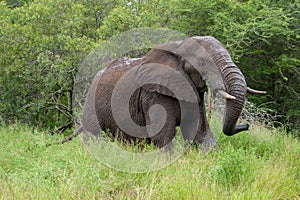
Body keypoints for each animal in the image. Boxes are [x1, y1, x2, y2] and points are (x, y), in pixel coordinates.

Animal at [48, 35, 264, 150]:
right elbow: (163, 135)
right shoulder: (153, 94)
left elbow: (200, 133)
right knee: (95, 139)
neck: (178, 46)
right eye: (203, 63)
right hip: (92, 102)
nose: (247, 125)